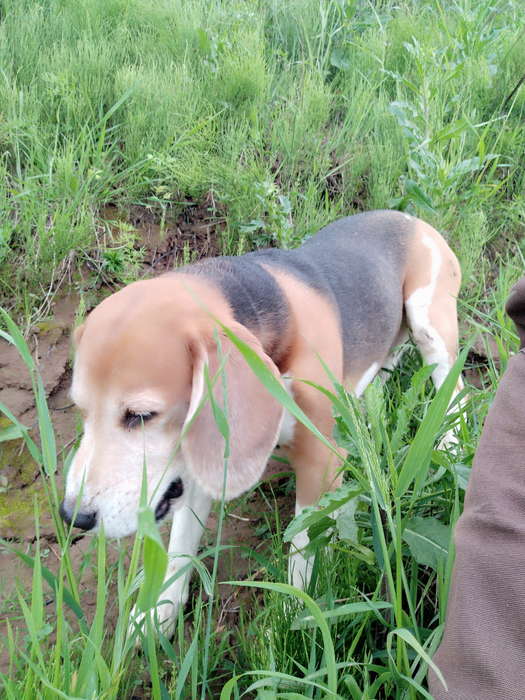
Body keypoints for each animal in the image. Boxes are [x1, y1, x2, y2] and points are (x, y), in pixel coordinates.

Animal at [61, 208, 460, 636]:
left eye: (140, 415)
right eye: (82, 411)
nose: (73, 517)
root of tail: (412, 218)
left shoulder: (319, 461)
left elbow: (303, 546)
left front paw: (294, 612)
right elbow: (181, 544)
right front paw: (160, 612)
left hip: (428, 322)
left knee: (456, 388)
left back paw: (451, 444)